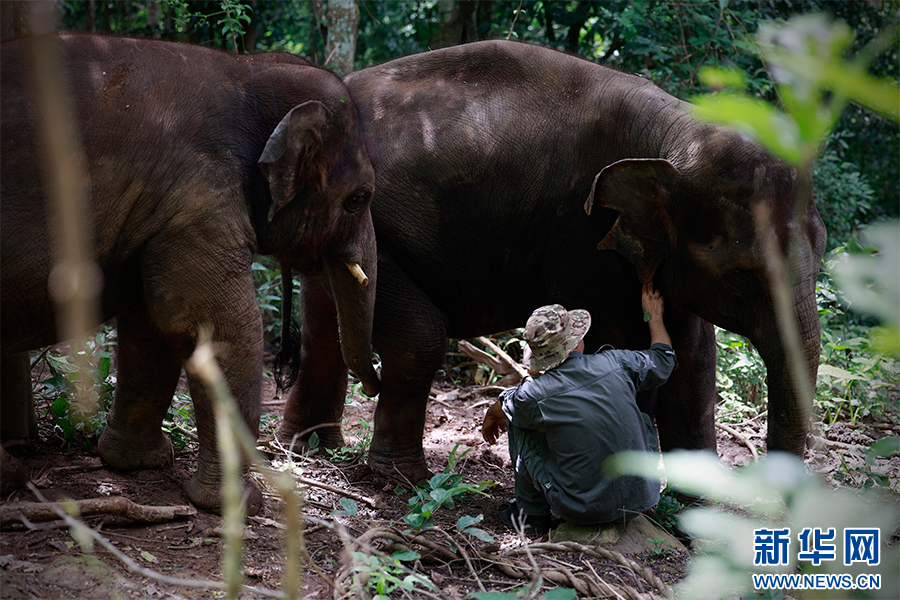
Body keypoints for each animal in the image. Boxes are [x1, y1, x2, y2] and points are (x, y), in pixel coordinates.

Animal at [0, 34, 381, 514]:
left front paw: (135, 463)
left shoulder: (160, 213)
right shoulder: (197, 197)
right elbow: (224, 329)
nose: (375, 386)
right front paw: (240, 506)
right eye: (358, 199)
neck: (249, 70)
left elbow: (151, 328)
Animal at [277, 40, 827, 483]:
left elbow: (694, 355)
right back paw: (401, 479)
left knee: (325, 326)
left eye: (822, 250)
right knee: (417, 335)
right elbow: (622, 345)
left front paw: (694, 516)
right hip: (369, 228)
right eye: (742, 277)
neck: (673, 128)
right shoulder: (577, 237)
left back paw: (309, 448)